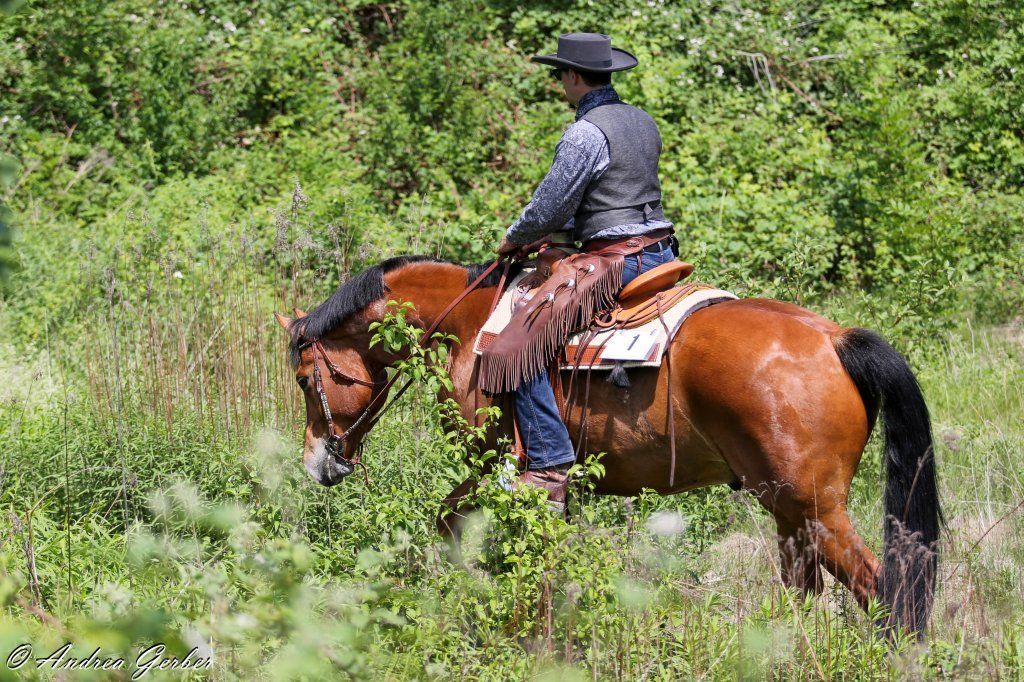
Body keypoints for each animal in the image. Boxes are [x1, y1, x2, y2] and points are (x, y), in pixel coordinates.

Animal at [274, 254, 941, 633]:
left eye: (306, 378)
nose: (318, 462)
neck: (471, 329)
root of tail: (836, 339)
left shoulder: (496, 466)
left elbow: (453, 523)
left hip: (814, 508)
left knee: (880, 589)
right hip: (787, 512)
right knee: (806, 591)